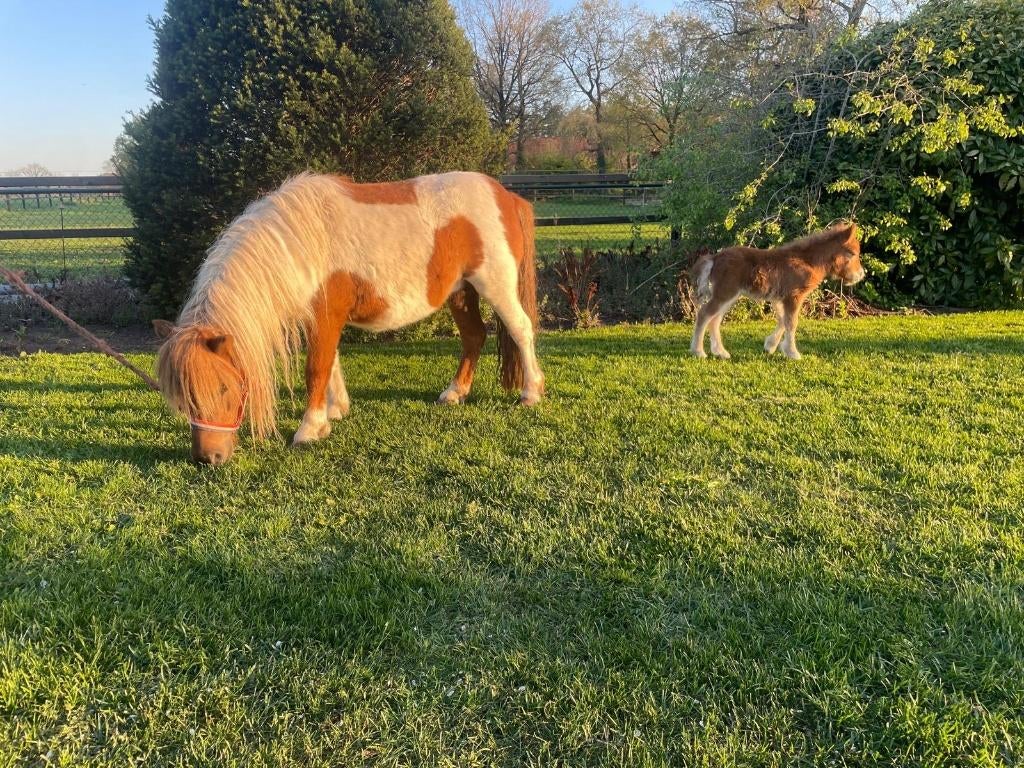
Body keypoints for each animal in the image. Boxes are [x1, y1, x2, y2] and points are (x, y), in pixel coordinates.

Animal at [153, 172, 544, 465]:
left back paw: (531, 393)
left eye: (223, 388)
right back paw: (455, 392)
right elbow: (332, 363)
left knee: (521, 330)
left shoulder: (326, 315)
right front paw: (335, 410)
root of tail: (506, 196)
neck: (299, 241)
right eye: (180, 395)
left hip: (495, 285)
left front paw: (309, 429)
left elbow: (317, 367)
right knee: (474, 336)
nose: (207, 458)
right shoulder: (324, 319)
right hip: (461, 292)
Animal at [690, 222, 865, 361]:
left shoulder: (779, 298)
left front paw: (770, 346)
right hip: (725, 293)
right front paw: (793, 353)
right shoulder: (794, 296)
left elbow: (783, 320)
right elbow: (791, 322)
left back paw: (720, 352)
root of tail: (715, 258)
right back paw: (698, 352)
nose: (861, 275)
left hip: (729, 296)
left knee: (714, 319)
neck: (807, 261)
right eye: (852, 253)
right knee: (705, 314)